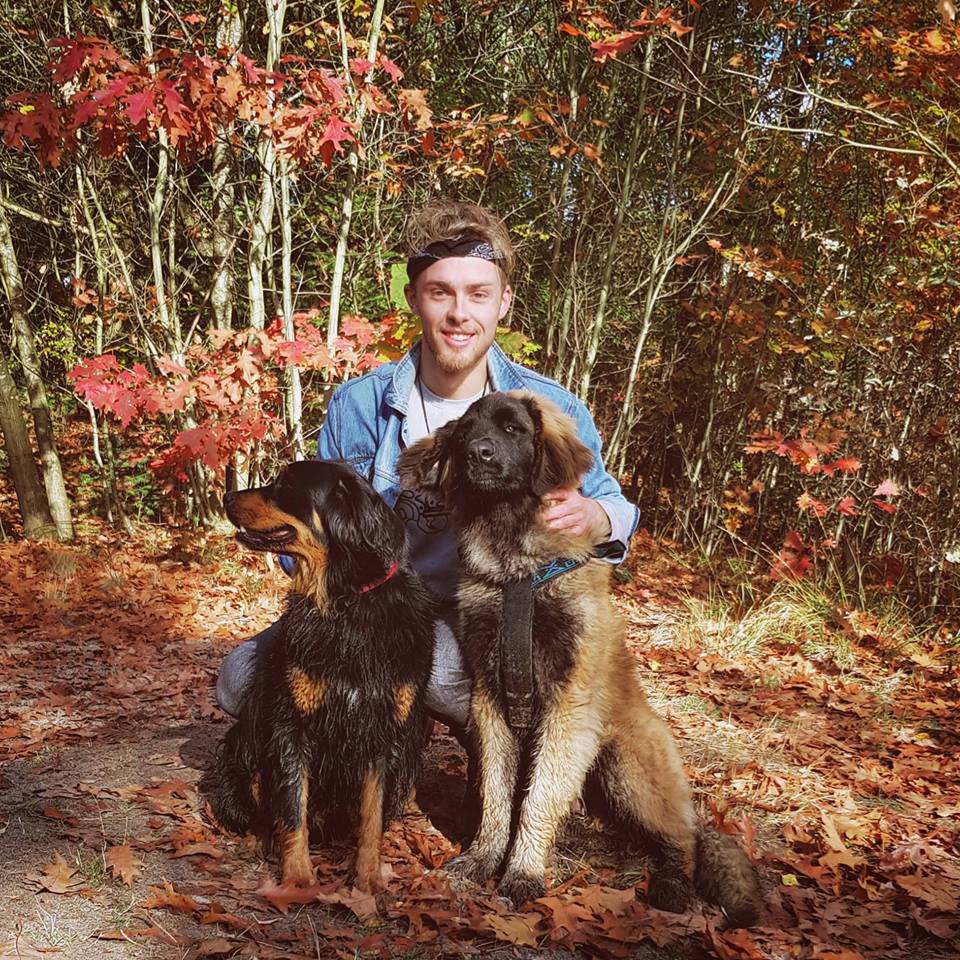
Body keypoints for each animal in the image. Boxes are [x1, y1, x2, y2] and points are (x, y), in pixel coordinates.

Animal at [211, 460, 435, 893]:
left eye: (285, 486)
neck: (346, 601)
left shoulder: (382, 734)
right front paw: (298, 878)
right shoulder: (290, 725)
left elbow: (371, 817)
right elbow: (291, 806)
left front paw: (368, 878)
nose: (227, 496)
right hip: (244, 749)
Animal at [397, 391, 762, 926]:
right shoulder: (490, 702)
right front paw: (484, 858)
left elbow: (538, 799)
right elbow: (497, 797)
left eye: (512, 429)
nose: (478, 454)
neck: (518, 575)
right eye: (464, 433)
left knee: (685, 841)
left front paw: (523, 873)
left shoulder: (567, 708)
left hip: (625, 768)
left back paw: (673, 883)